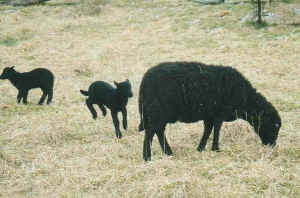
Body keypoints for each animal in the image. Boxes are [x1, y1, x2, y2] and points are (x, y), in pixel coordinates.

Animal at [138, 61, 282, 161]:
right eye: (274, 126)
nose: (272, 145)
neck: (246, 99)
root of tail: (144, 82)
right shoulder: (219, 114)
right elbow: (216, 130)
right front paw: (216, 149)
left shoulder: (209, 115)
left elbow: (208, 130)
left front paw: (201, 148)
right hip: (157, 112)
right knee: (151, 132)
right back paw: (147, 157)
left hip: (157, 114)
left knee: (158, 131)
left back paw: (167, 153)